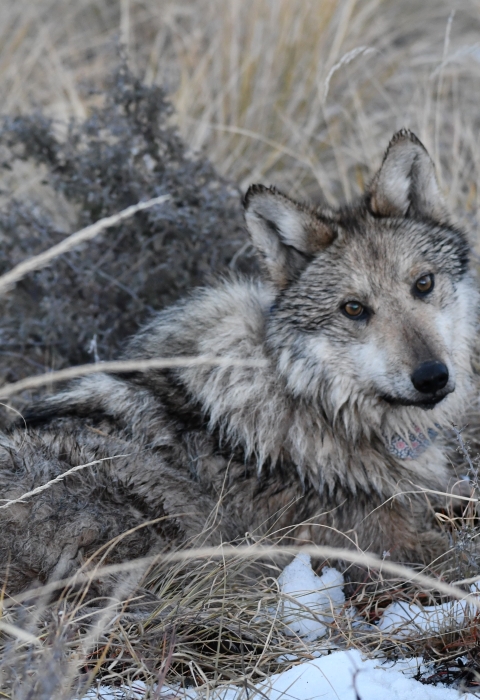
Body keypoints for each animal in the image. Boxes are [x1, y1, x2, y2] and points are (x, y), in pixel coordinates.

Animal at [0, 129, 477, 595]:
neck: (313, 403)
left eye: (423, 284)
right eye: (354, 309)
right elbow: (461, 559)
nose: (432, 377)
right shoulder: (384, 547)